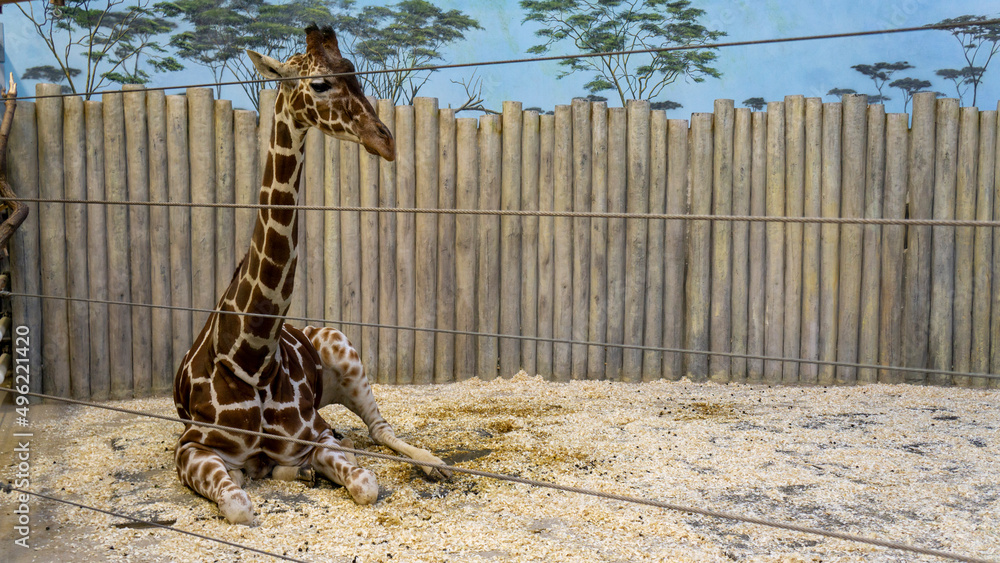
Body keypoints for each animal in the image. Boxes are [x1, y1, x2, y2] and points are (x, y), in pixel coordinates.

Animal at [173, 25, 450, 526]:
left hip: (346, 352)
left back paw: (434, 463)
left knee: (379, 430)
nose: (386, 141)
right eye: (320, 83)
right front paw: (273, 473)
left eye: (356, 72)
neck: (253, 358)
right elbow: (239, 504)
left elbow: (365, 484)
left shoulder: (314, 435)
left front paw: (299, 470)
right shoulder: (190, 447)